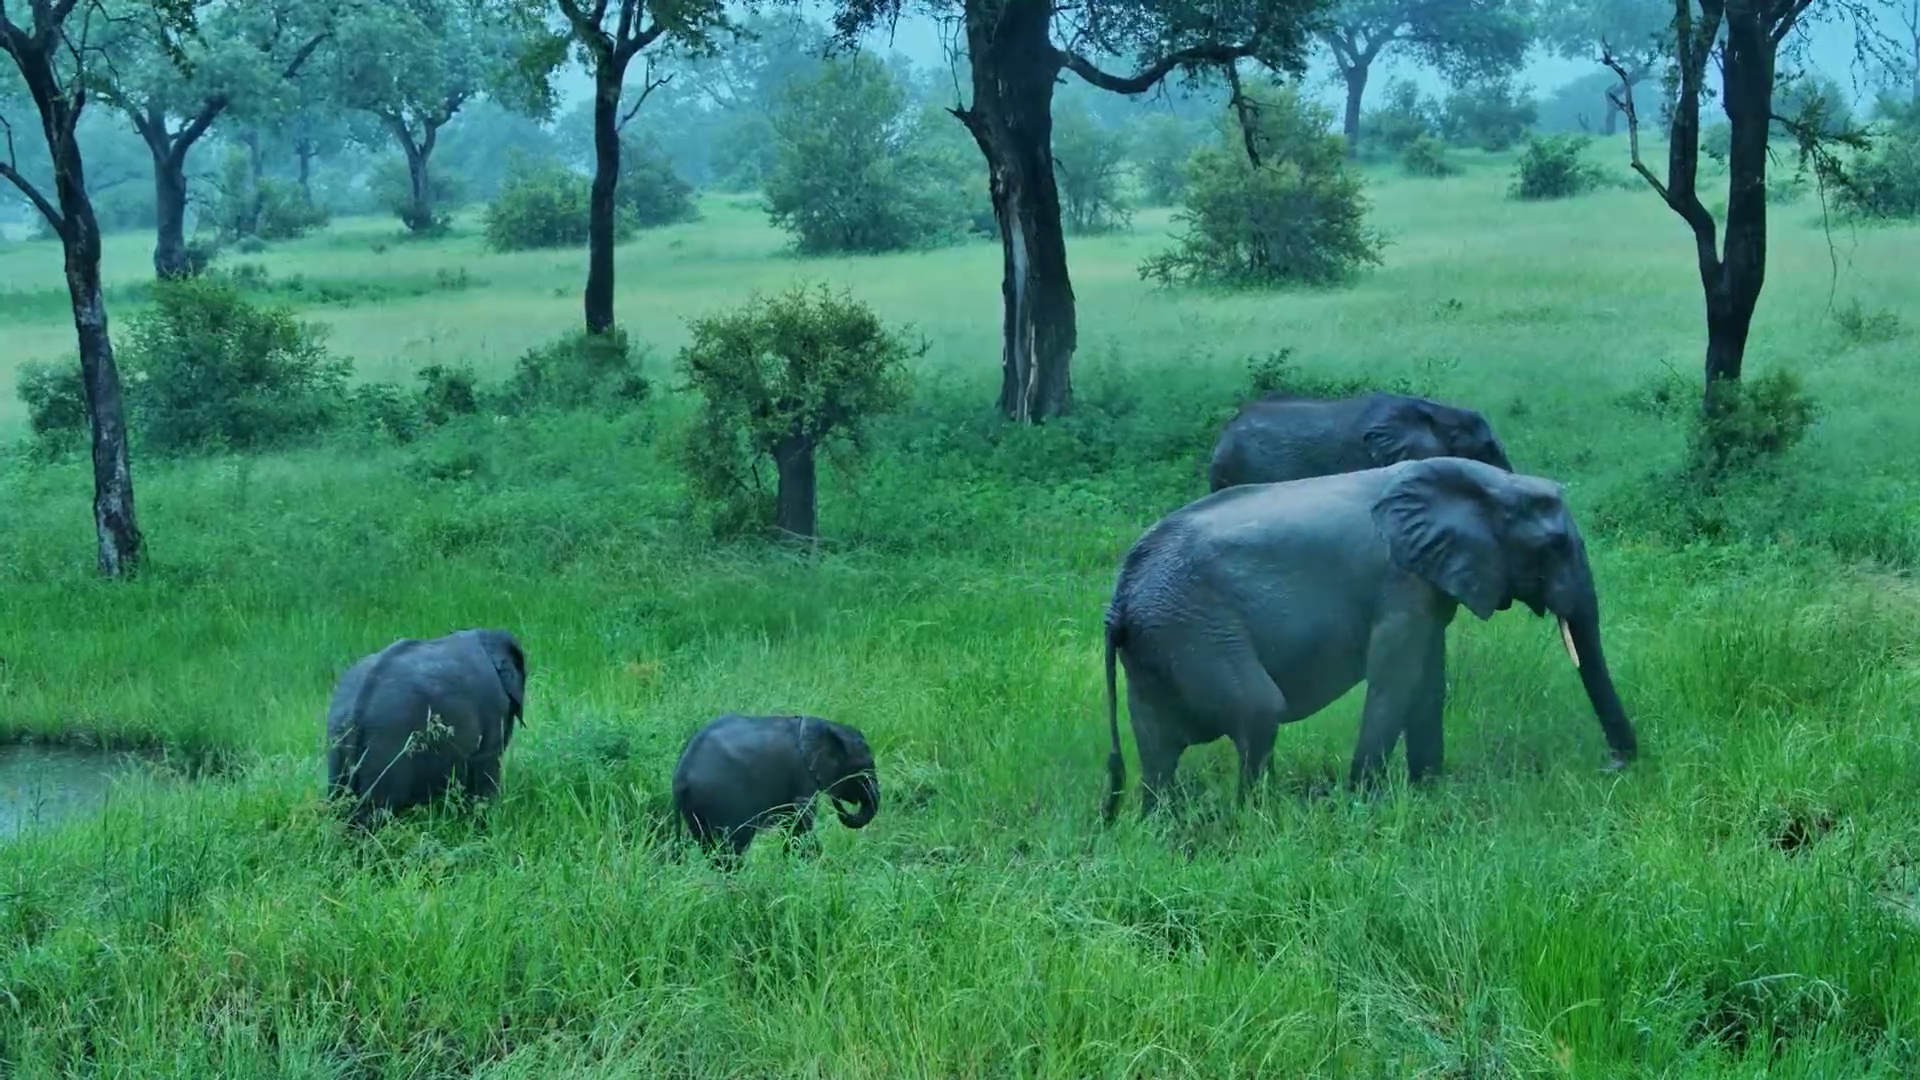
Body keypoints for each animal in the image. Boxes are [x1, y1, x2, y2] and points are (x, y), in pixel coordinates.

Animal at [671, 712, 879, 861]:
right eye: (864, 767)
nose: (837, 802)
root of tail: (680, 777)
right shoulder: (802, 777)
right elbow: (801, 821)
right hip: (721, 802)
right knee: (732, 847)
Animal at [1100, 455, 1637, 819]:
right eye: (1556, 545)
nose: (1613, 767)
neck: (1486, 483)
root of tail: (1119, 598)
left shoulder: (1428, 584)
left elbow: (1428, 684)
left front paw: (1428, 792)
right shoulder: (1400, 584)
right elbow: (1396, 682)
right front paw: (1364, 803)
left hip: (1159, 640)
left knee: (1157, 746)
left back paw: (1162, 826)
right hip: (1194, 625)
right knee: (1258, 711)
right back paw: (1255, 819)